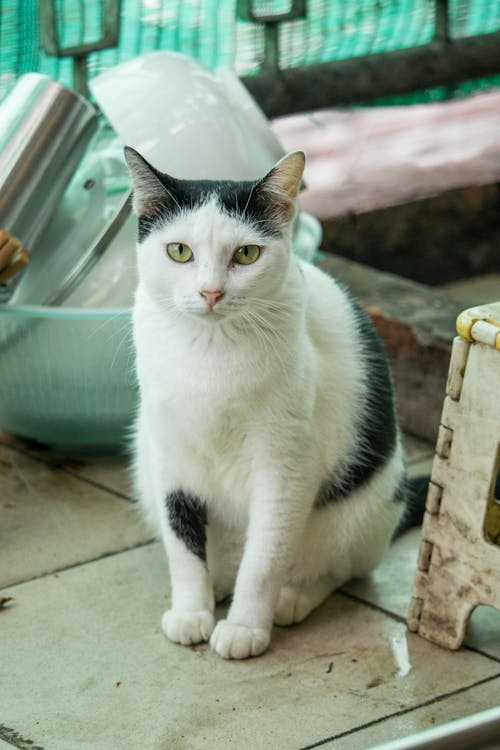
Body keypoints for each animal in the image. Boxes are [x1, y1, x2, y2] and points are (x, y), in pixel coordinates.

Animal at [125, 144, 414, 660]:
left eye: (246, 254)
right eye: (179, 251)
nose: (211, 291)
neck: (210, 351)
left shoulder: (286, 465)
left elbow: (265, 556)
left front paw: (245, 627)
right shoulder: (168, 456)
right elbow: (182, 543)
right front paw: (191, 611)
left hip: (365, 509)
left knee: (340, 568)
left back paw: (292, 597)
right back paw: (217, 585)